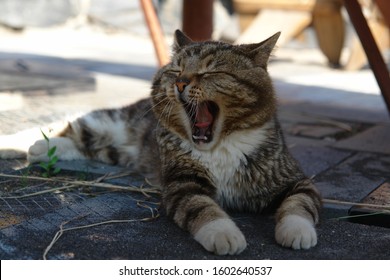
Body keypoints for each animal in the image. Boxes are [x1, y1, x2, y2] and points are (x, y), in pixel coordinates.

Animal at [1, 29, 322, 255]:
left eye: (211, 71)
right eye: (176, 69)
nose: (180, 83)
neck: (220, 147)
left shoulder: (295, 179)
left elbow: (300, 204)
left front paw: (298, 232)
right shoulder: (181, 183)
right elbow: (202, 207)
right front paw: (224, 234)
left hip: (110, 148)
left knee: (73, 140)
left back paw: (39, 149)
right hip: (109, 122)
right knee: (68, 124)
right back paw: (13, 144)